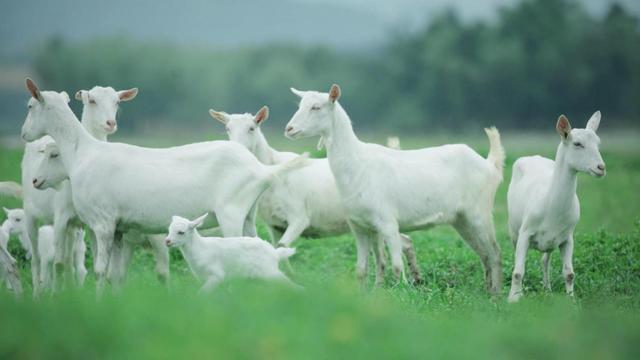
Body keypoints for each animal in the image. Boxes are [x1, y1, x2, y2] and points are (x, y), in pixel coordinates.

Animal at [165, 214, 300, 292]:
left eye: (181, 232)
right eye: (169, 230)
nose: (167, 241)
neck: (200, 249)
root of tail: (275, 254)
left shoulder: (217, 275)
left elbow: (201, 294)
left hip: (269, 272)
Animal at [211, 107, 424, 284]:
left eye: (252, 128)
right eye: (227, 128)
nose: (236, 149)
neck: (272, 167)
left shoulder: (298, 216)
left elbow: (282, 245)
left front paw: (292, 275)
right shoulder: (274, 224)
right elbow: (276, 246)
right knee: (405, 241)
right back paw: (417, 279)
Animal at [284, 86, 504, 294]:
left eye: (316, 107)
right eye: (299, 105)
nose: (289, 128)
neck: (357, 164)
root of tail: (490, 165)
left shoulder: (388, 222)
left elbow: (397, 267)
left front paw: (400, 294)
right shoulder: (358, 225)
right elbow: (362, 269)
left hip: (480, 212)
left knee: (495, 252)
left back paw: (497, 295)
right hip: (461, 219)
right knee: (484, 254)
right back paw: (487, 291)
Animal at [504, 112, 604, 300]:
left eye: (598, 143)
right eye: (577, 143)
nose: (601, 167)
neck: (551, 205)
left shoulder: (568, 237)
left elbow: (569, 273)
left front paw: (571, 299)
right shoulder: (525, 232)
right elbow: (518, 271)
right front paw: (513, 298)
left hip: (550, 241)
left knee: (545, 260)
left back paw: (547, 289)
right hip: (513, 230)